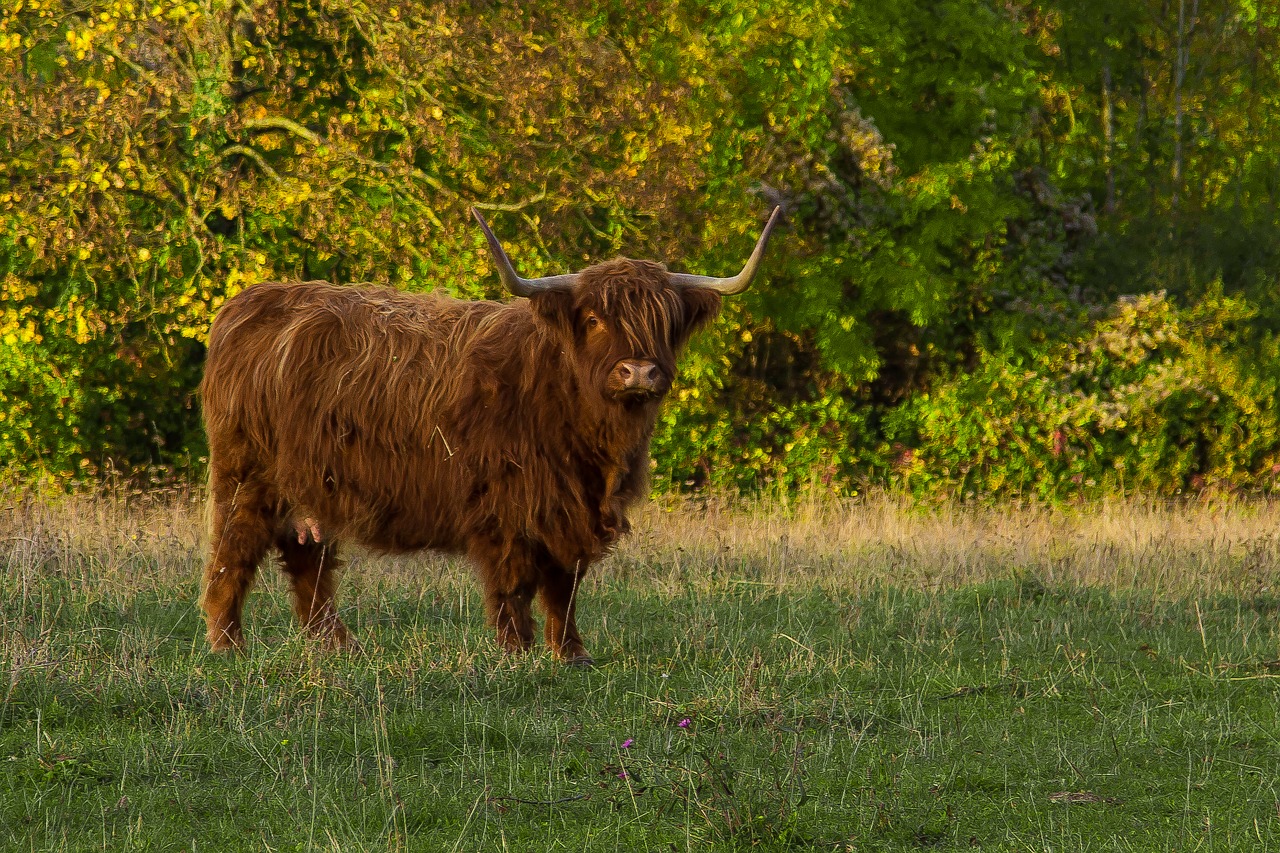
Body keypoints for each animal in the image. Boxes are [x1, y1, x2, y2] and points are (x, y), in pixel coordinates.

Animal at [198, 206, 778, 666]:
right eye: (593, 319)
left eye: (666, 321)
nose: (638, 372)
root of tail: (248, 304)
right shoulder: (506, 509)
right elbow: (515, 584)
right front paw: (517, 651)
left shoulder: (572, 514)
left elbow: (565, 587)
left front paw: (572, 654)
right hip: (247, 479)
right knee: (232, 555)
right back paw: (229, 646)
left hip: (310, 489)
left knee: (308, 562)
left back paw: (340, 646)